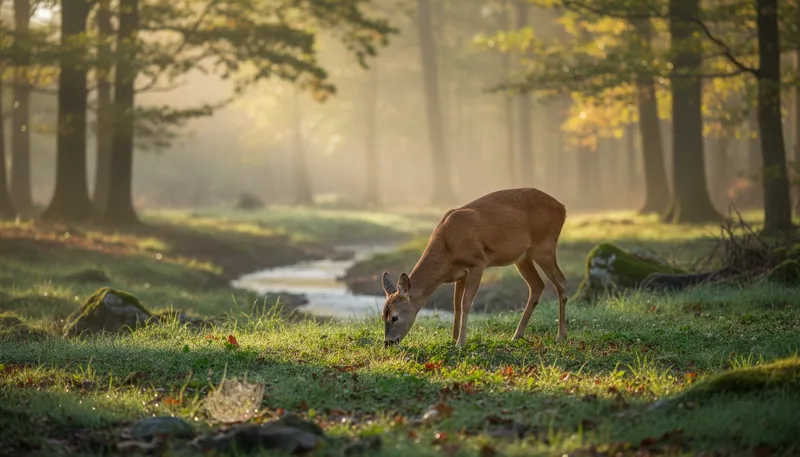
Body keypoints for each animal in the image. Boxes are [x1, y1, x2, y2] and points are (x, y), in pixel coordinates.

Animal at [381, 188, 567, 348]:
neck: (447, 248)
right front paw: (453, 338)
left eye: (395, 317)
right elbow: (456, 304)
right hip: (522, 257)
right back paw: (516, 336)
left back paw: (560, 336)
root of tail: (563, 208)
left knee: (561, 281)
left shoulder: (477, 263)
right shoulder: (459, 274)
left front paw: (460, 342)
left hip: (544, 246)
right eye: (382, 315)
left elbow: (466, 303)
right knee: (537, 285)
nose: (388, 342)